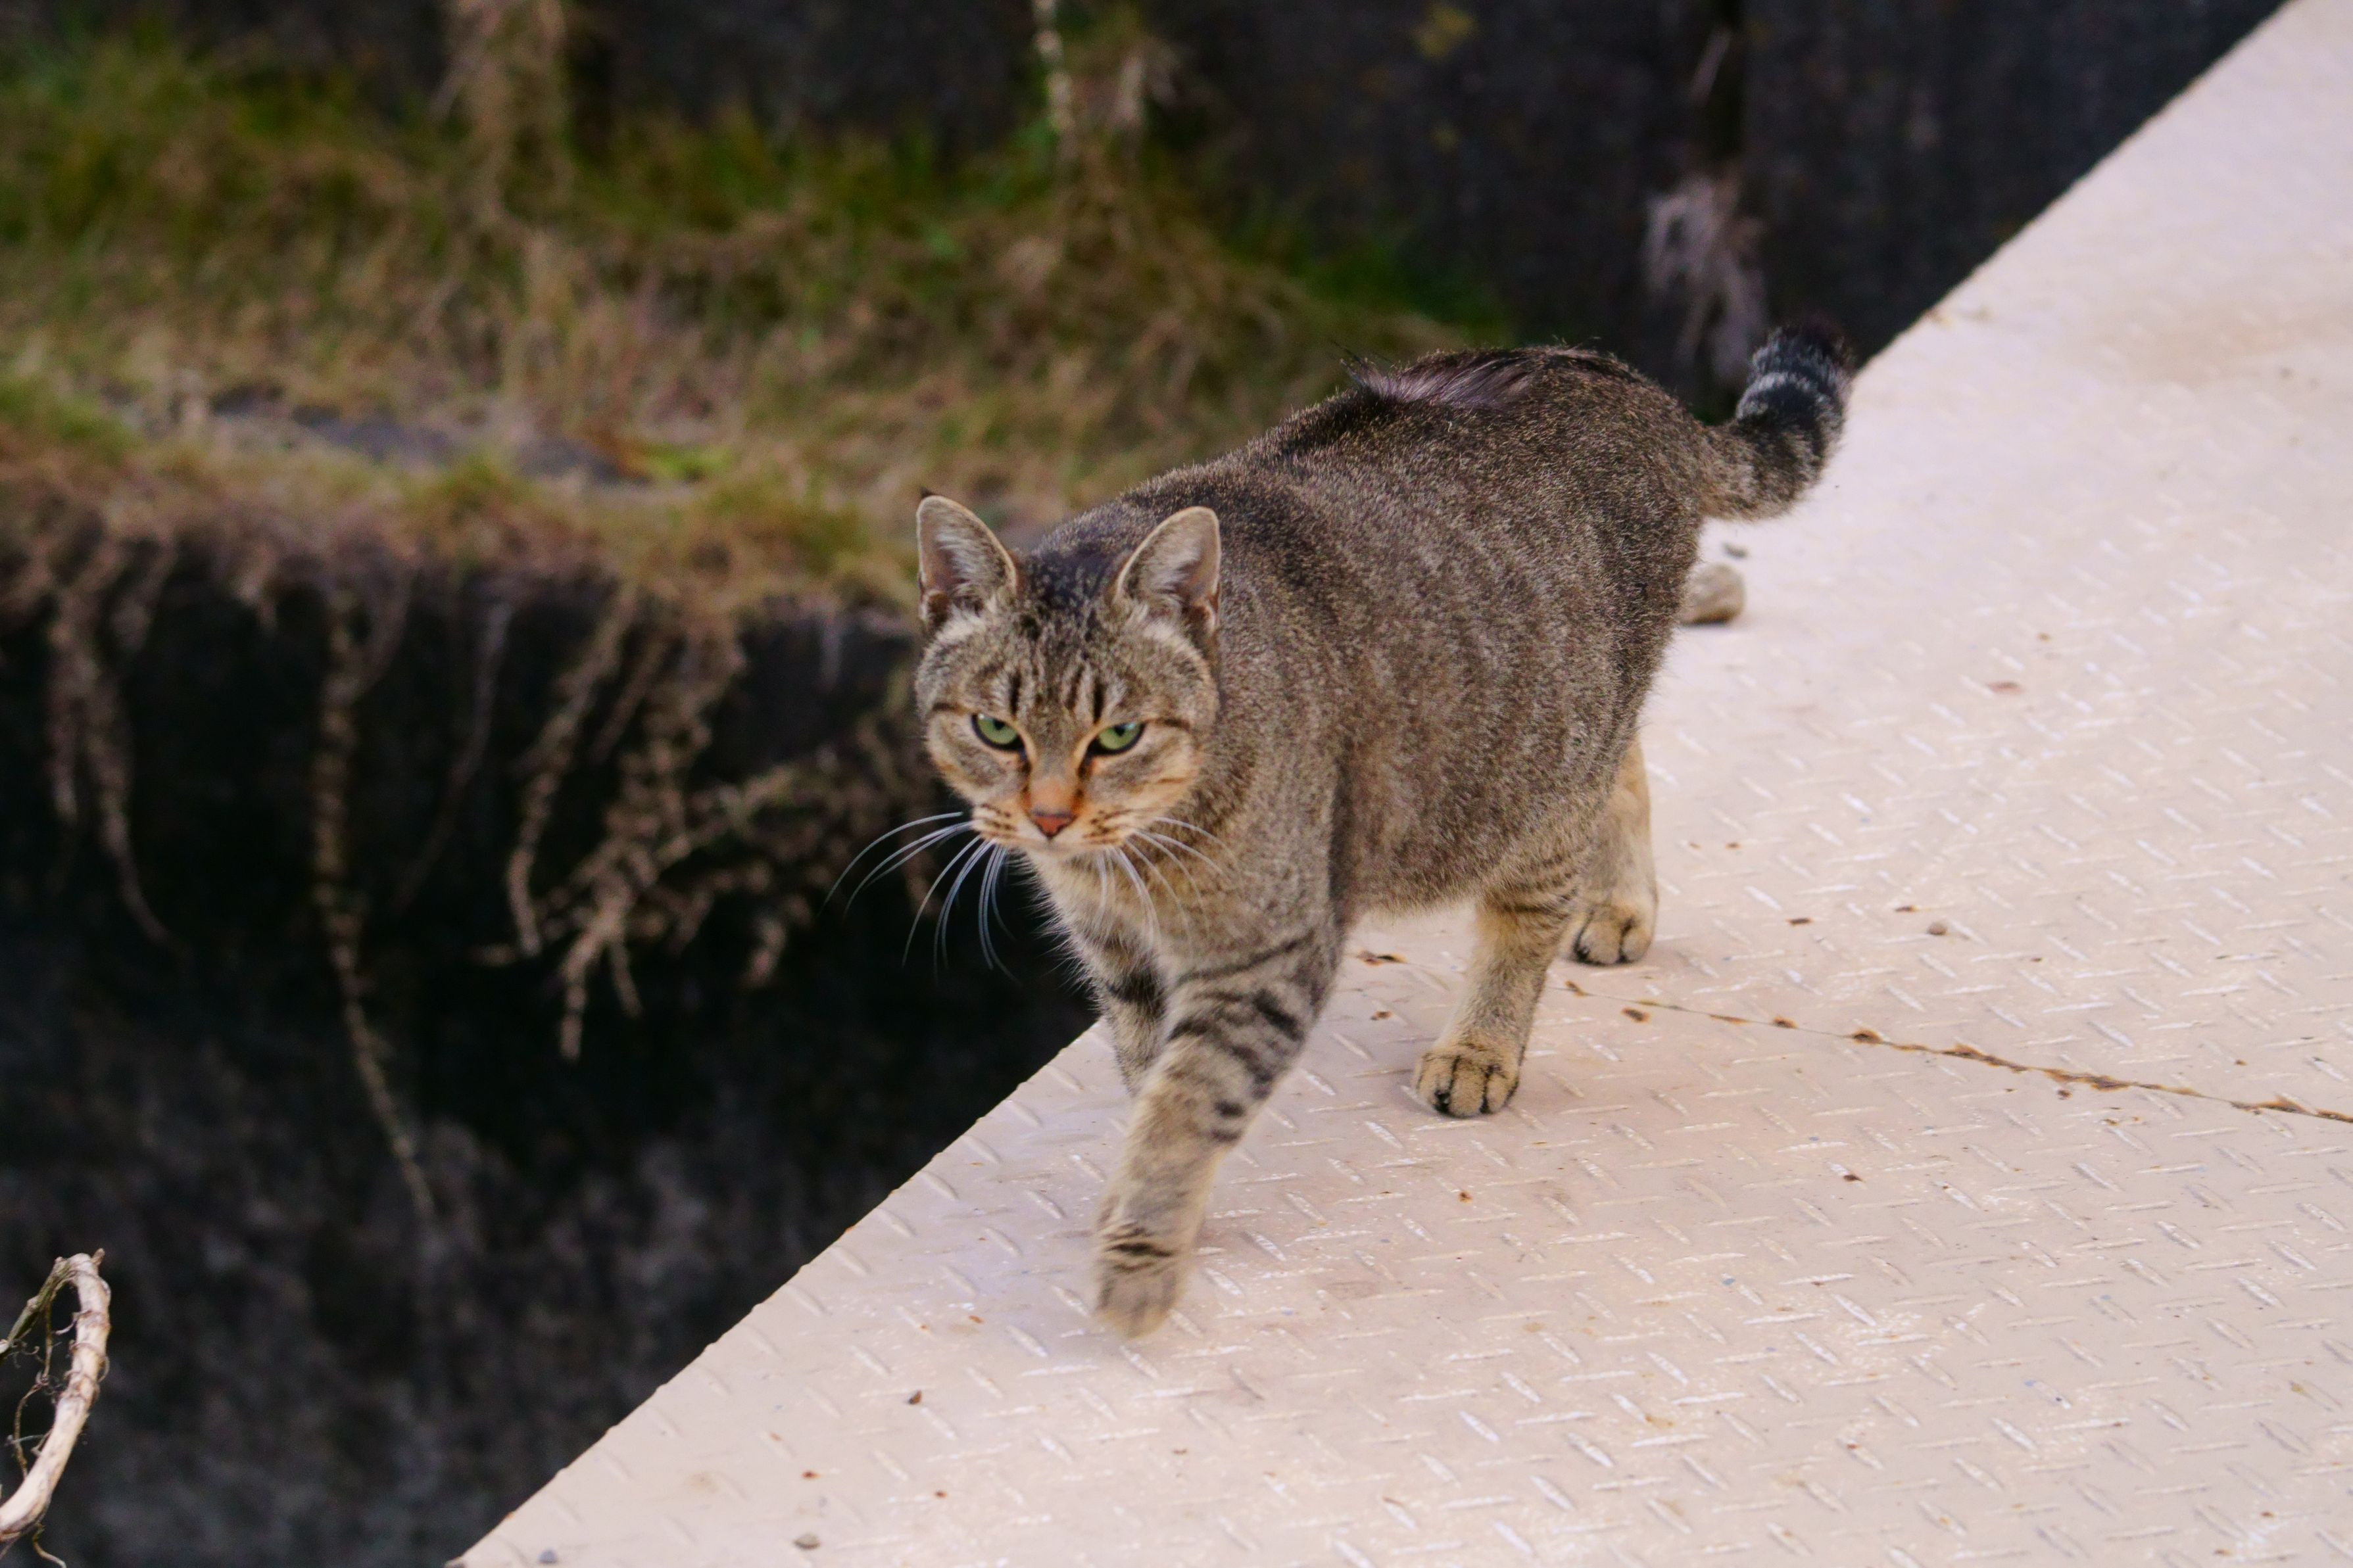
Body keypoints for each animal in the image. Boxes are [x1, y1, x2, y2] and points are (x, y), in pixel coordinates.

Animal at [912, 324, 1850, 1336]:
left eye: (1116, 734)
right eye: (995, 730)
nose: (1048, 816)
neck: (1132, 857)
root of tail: (1633, 384)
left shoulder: (1271, 954)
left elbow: (1186, 1102)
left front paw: (1143, 1254)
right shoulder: (1120, 959)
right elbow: (1147, 1075)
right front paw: (1148, 1200)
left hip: (1542, 773)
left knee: (1532, 908)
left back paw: (1483, 1044)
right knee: (1627, 772)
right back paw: (1621, 903)